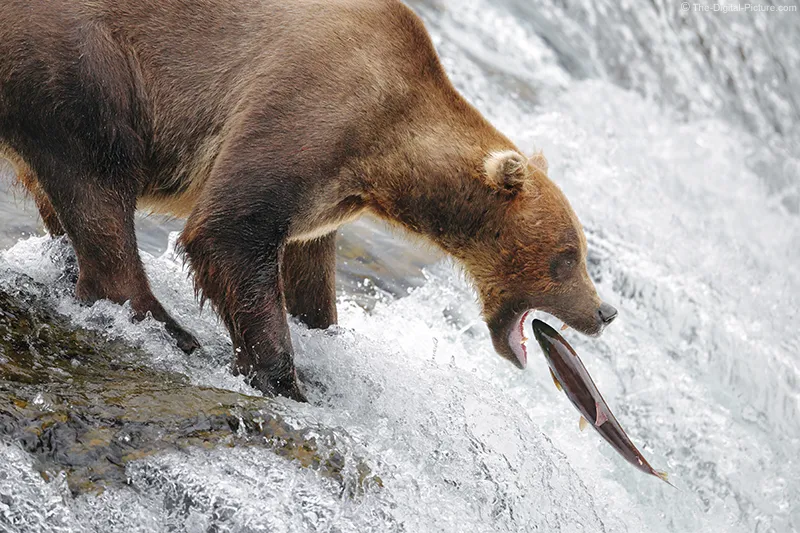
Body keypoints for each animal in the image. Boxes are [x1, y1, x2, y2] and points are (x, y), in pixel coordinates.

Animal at [0, 0, 617, 401]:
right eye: (567, 257)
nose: (605, 311)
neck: (387, 151)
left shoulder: (328, 192)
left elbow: (306, 266)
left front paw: (322, 332)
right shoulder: (308, 103)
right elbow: (230, 229)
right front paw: (282, 377)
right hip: (81, 61)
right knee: (98, 176)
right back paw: (167, 328)